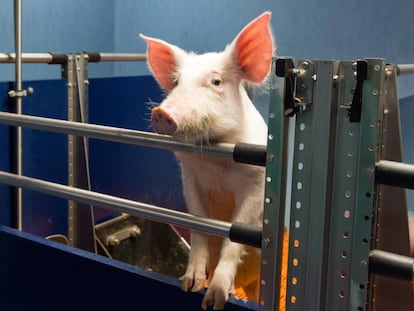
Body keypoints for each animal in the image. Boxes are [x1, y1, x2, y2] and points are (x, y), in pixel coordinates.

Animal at [141, 11, 274, 310]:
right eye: (177, 82)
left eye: (216, 82)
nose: (161, 113)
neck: (215, 159)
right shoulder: (190, 178)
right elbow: (199, 226)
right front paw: (190, 285)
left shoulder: (256, 184)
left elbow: (233, 239)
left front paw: (214, 301)